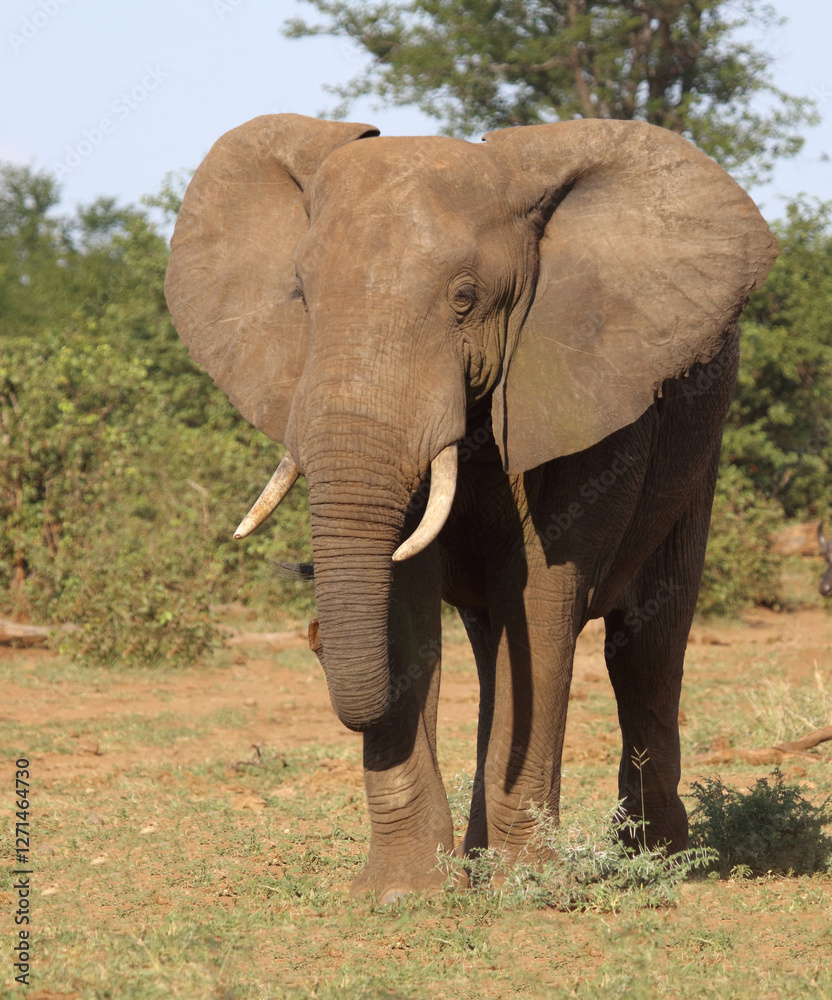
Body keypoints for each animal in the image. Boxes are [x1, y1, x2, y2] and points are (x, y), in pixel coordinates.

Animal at [165, 113, 776, 902]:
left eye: (464, 298)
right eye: (300, 295)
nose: (313, 633)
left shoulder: (584, 390)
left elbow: (543, 595)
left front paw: (528, 888)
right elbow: (406, 600)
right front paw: (403, 894)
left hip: (700, 446)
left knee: (646, 646)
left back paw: (656, 860)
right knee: (495, 648)